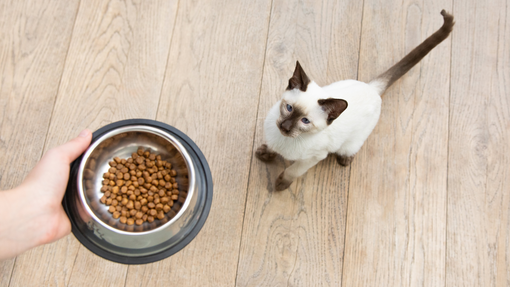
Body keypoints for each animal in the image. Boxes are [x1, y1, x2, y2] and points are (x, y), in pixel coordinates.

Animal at [255, 10, 454, 192]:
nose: (285, 127)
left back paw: (345, 159)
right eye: (288, 108)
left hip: (351, 143)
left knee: (349, 151)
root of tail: (372, 87)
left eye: (305, 121)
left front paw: (281, 185)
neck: (284, 140)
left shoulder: (313, 158)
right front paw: (265, 153)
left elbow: (293, 171)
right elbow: (271, 148)